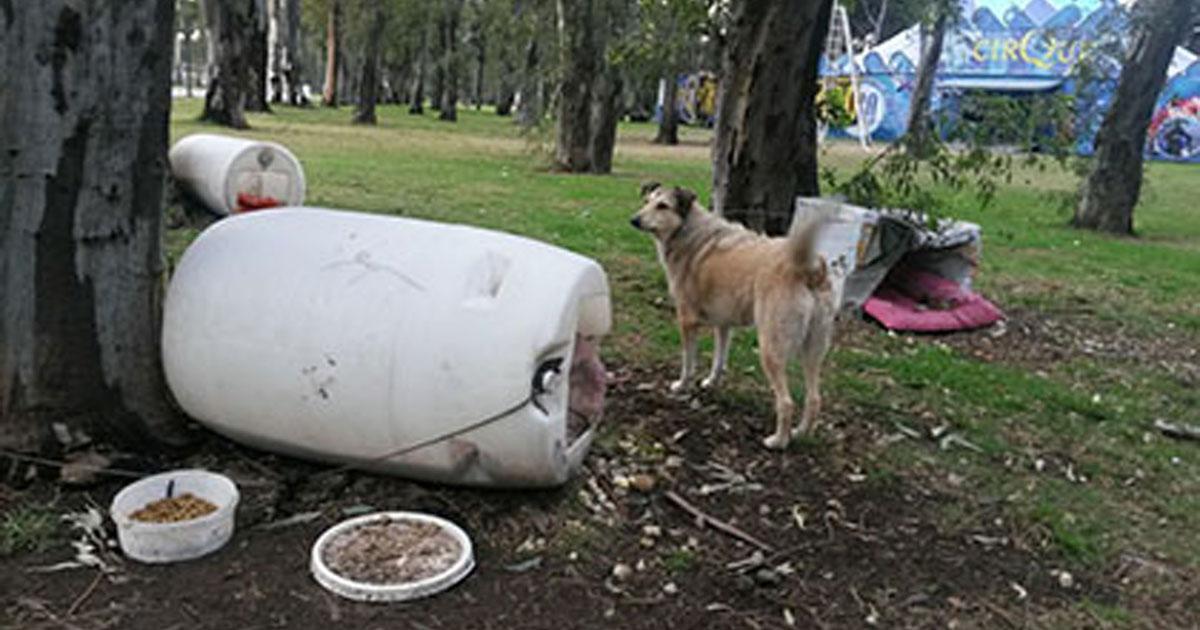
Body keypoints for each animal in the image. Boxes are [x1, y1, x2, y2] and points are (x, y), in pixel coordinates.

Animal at [633, 181, 840, 446]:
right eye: (646, 201)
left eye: (662, 206)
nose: (634, 220)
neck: (687, 231)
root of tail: (810, 268)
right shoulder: (724, 325)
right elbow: (719, 360)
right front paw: (711, 383)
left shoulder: (686, 321)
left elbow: (688, 362)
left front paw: (681, 386)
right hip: (812, 351)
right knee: (814, 399)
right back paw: (800, 433)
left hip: (770, 349)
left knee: (786, 403)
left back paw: (778, 441)